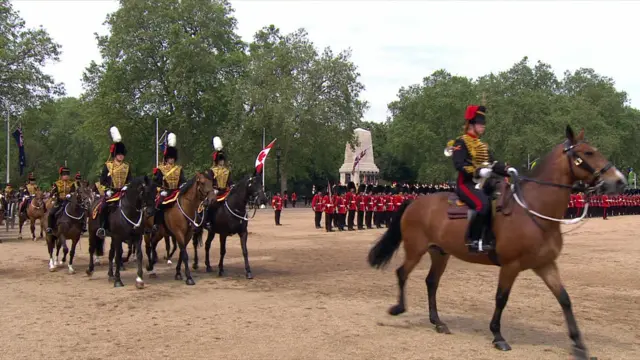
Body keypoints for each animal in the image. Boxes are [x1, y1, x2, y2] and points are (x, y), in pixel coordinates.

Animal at [368, 125, 628, 358]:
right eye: (588, 153)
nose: (620, 181)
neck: (534, 210)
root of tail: (415, 202)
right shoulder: (511, 265)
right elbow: (501, 298)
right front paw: (497, 336)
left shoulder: (545, 264)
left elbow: (564, 298)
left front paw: (579, 345)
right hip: (416, 249)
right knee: (402, 272)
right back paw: (399, 308)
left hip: (440, 252)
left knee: (431, 282)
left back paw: (438, 322)